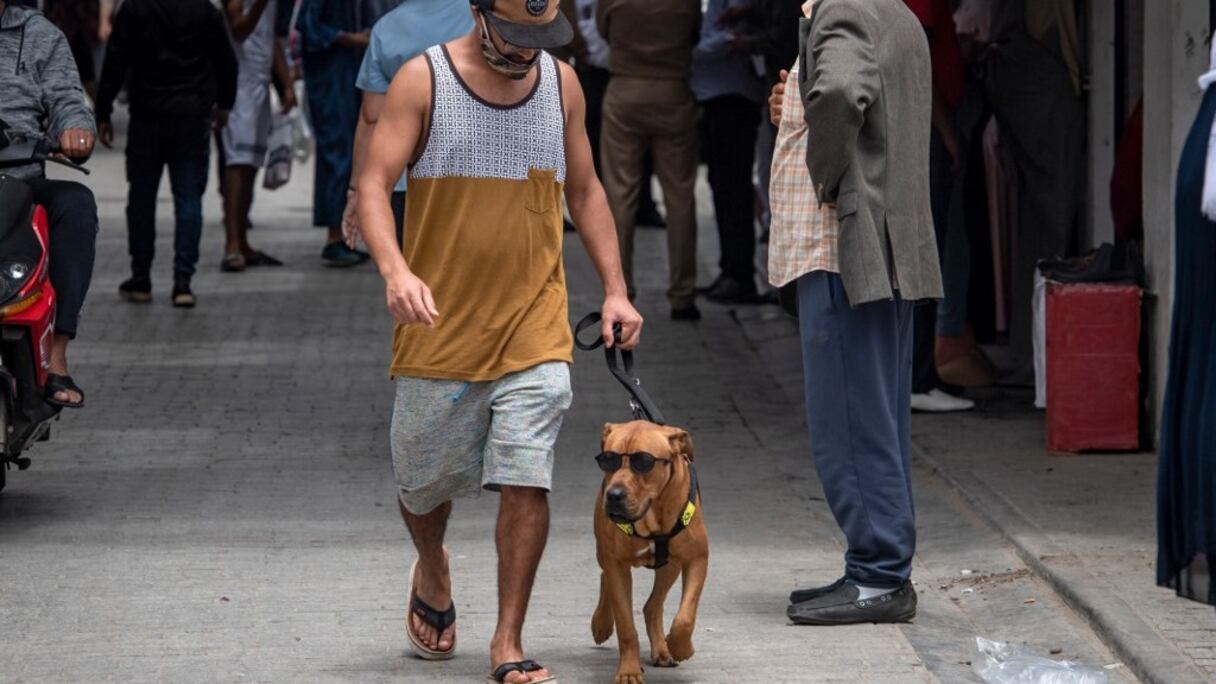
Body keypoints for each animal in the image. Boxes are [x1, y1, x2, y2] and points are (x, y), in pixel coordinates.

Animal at [590, 418, 710, 676]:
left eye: (643, 462)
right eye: (608, 459)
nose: (613, 495)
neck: (652, 517)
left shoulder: (697, 558)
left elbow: (686, 616)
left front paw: (680, 646)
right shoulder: (617, 564)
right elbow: (625, 625)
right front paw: (629, 671)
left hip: (670, 566)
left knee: (652, 606)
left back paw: (663, 650)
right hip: (604, 552)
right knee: (605, 576)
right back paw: (601, 623)